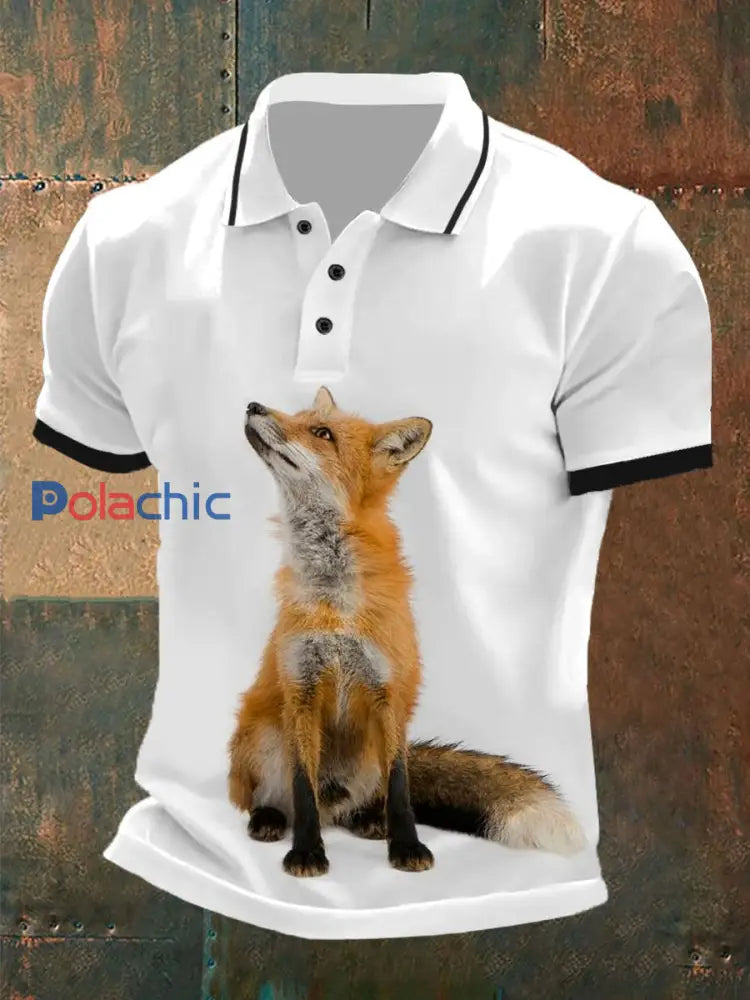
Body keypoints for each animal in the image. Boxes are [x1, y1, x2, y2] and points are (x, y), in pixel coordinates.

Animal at [228, 387, 585, 877]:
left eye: (321, 432)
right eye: (300, 416)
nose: (252, 406)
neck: (337, 603)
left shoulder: (389, 691)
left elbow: (400, 788)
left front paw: (407, 847)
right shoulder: (301, 688)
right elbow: (303, 789)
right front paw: (307, 852)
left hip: (369, 756)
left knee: (365, 798)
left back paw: (368, 820)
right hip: (262, 735)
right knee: (278, 799)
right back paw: (269, 818)